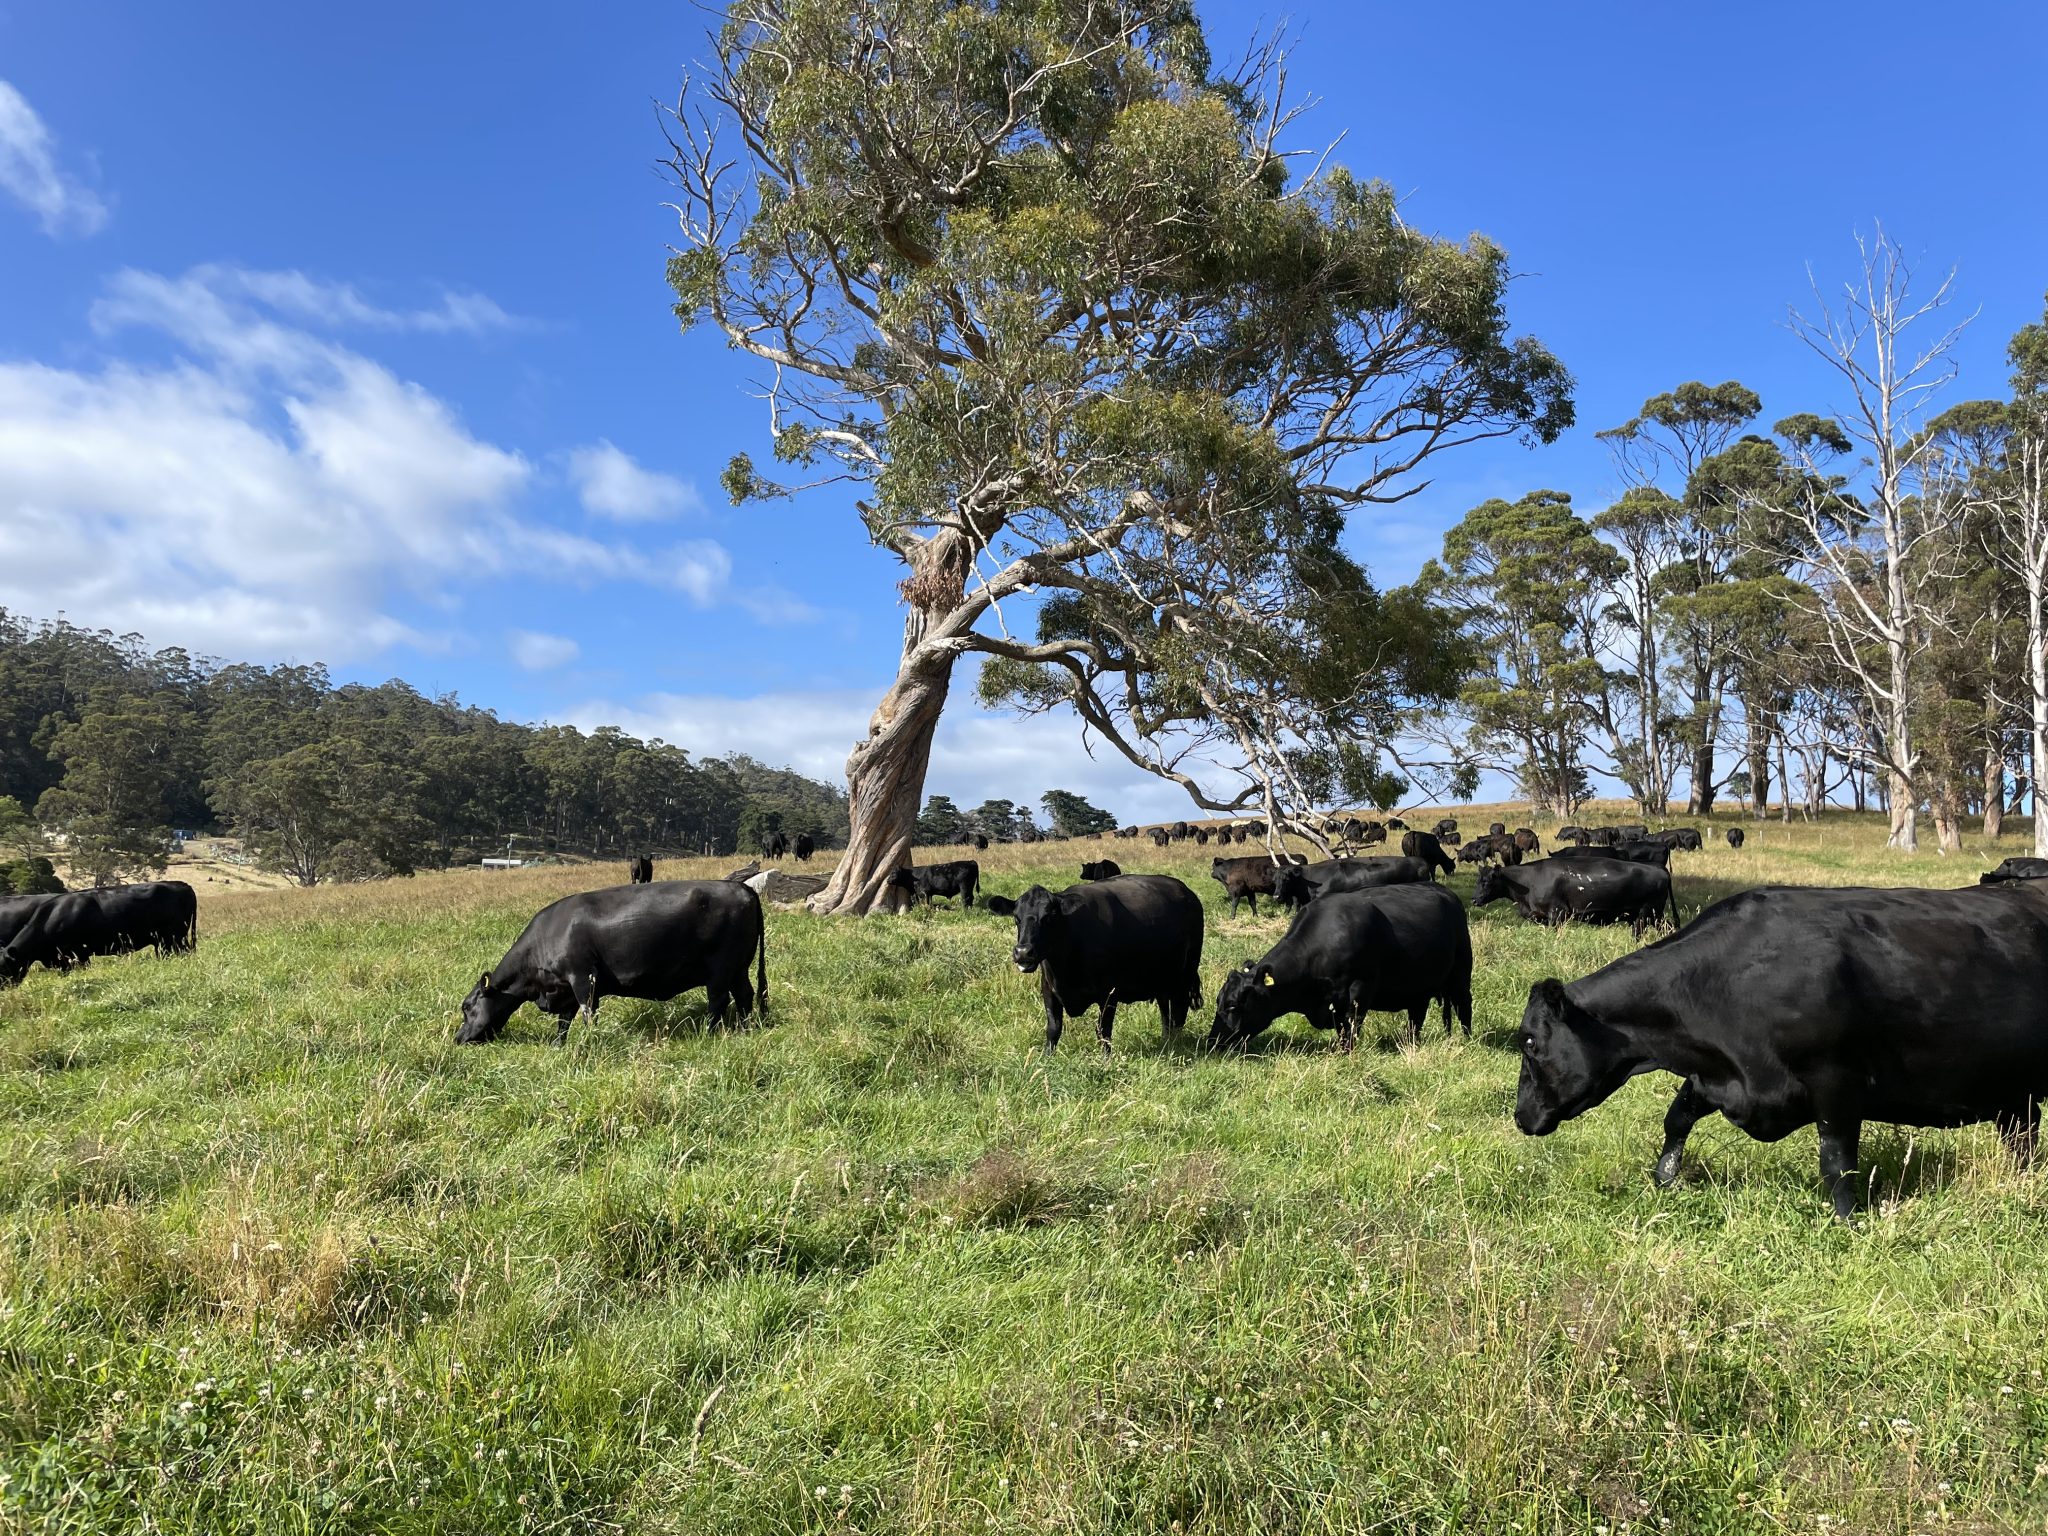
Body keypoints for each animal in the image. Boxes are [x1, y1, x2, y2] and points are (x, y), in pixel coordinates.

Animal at [456, 881, 765, 1044]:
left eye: (467, 1007)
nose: (458, 1037)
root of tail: (741, 886)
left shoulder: (583, 977)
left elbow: (587, 1013)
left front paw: (589, 1040)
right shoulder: (564, 988)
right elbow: (564, 1021)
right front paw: (558, 1045)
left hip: (720, 968)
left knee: (719, 1001)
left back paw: (709, 1033)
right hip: (738, 969)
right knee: (745, 996)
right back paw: (748, 1028)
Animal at [1009, 875, 1204, 1053]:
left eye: (1049, 917)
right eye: (1016, 918)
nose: (1023, 951)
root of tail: (1186, 891)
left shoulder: (1109, 992)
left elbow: (1103, 1030)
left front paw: (1105, 1061)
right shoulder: (1048, 989)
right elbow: (1053, 1028)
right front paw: (1047, 1058)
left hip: (1185, 973)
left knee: (1179, 1009)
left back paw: (1175, 1044)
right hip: (1162, 977)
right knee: (1165, 1009)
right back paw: (1166, 1040)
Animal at [1209, 884, 1472, 1050]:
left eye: (1232, 1006)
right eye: (1218, 1001)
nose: (1212, 1041)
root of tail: (1446, 892)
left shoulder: (1359, 990)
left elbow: (1351, 1027)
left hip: (1460, 974)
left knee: (1464, 1008)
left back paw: (1467, 1040)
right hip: (1418, 988)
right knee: (1416, 1018)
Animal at [1474, 859, 1678, 937]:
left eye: (1487, 882)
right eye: (1478, 880)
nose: (1474, 900)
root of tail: (1658, 867)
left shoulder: (1558, 913)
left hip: (1648, 913)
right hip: (1647, 915)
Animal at [1515, 883, 2048, 1219]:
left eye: (1530, 1042)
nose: (1521, 1117)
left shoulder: (1836, 1083)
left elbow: (1837, 1163)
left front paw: (1848, 1223)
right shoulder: (1721, 1077)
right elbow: (1677, 1118)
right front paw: (1665, 1181)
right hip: (2014, 1094)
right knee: (2022, 1137)